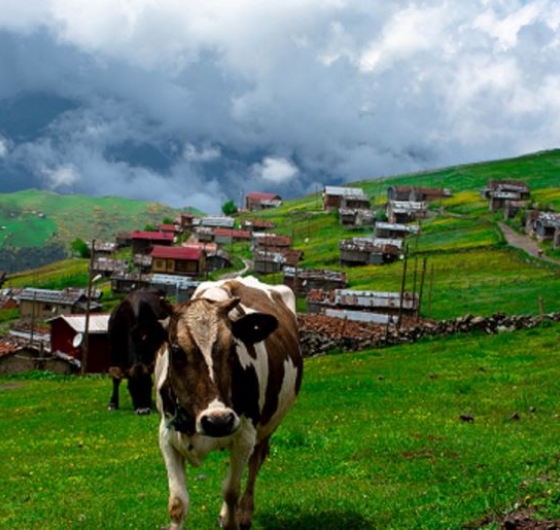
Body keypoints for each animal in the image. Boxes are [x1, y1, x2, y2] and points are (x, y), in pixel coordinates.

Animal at [155, 276, 304, 528]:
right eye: (176, 351)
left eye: (234, 346)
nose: (218, 421)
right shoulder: (167, 435)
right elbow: (177, 503)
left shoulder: (245, 436)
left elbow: (231, 491)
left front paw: (233, 518)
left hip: (267, 427)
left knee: (255, 464)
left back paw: (244, 514)